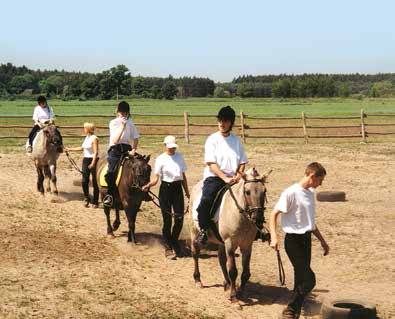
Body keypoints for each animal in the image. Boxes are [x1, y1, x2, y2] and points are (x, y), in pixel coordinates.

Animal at [189, 169, 270, 304]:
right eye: (247, 192)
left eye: (264, 191)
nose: (258, 218)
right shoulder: (230, 243)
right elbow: (233, 271)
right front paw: (234, 297)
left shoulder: (247, 245)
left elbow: (245, 273)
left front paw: (241, 292)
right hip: (195, 232)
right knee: (195, 254)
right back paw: (197, 280)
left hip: (222, 242)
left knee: (221, 259)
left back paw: (226, 283)